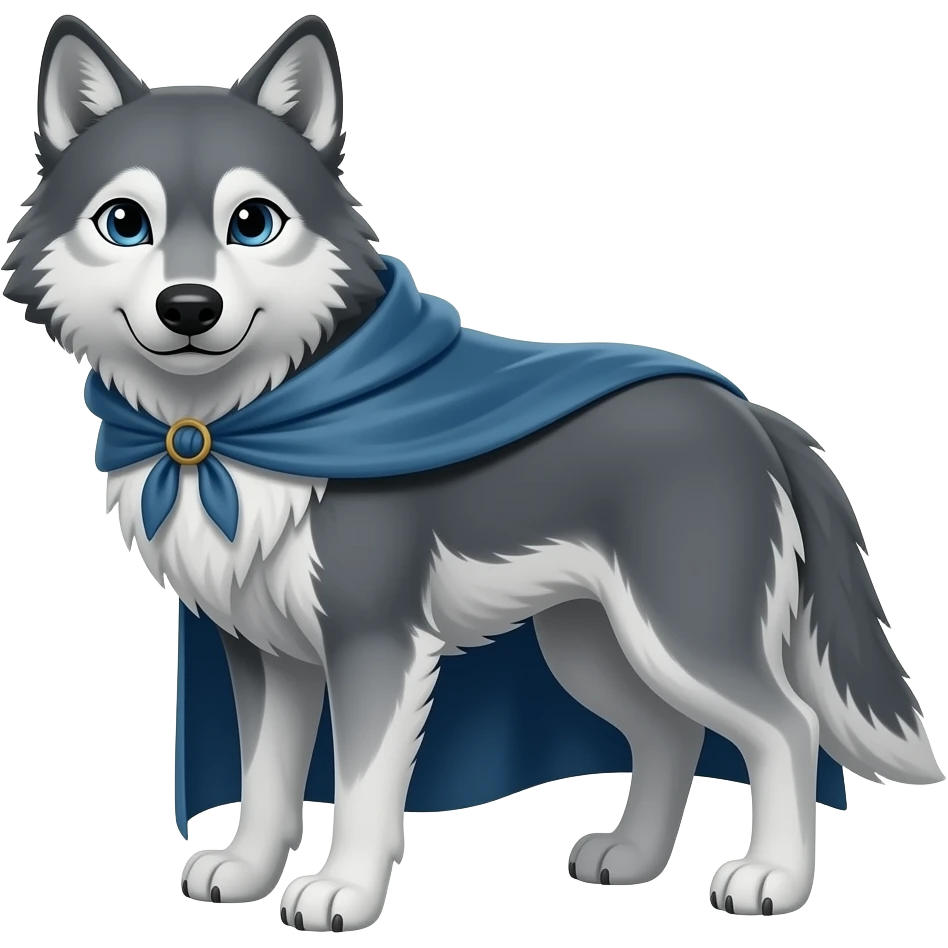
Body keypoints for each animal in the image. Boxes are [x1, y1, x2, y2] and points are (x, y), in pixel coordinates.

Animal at [3, 12, 942, 932]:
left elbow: (360, 787)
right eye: (126, 222)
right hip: (593, 646)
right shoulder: (263, 650)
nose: (190, 308)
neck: (226, 430)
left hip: (679, 635)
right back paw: (633, 858)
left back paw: (772, 879)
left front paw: (342, 892)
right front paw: (246, 871)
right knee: (670, 735)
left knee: (788, 726)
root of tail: (750, 413)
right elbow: (267, 777)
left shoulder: (375, 642)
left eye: (254, 222)